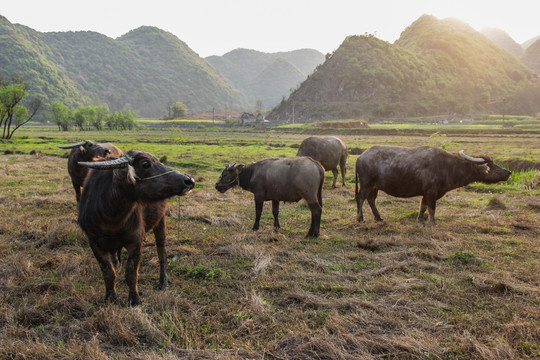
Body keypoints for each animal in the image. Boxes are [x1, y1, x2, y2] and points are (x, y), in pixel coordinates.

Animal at [76, 150, 194, 306]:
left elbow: (131, 272)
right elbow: (108, 272)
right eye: (145, 164)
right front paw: (110, 298)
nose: (189, 180)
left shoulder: (136, 240)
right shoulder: (94, 243)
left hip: (160, 221)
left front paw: (134, 299)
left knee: (161, 252)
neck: (111, 217)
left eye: (158, 161)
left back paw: (163, 281)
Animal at [354, 146, 510, 225]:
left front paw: (419, 221)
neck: (448, 167)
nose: (508, 172)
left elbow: (422, 207)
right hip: (366, 183)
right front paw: (432, 223)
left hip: (375, 186)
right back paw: (360, 218)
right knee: (360, 198)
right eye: (491, 165)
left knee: (371, 200)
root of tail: (361, 157)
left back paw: (378, 218)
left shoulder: (426, 193)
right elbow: (431, 209)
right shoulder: (431, 192)